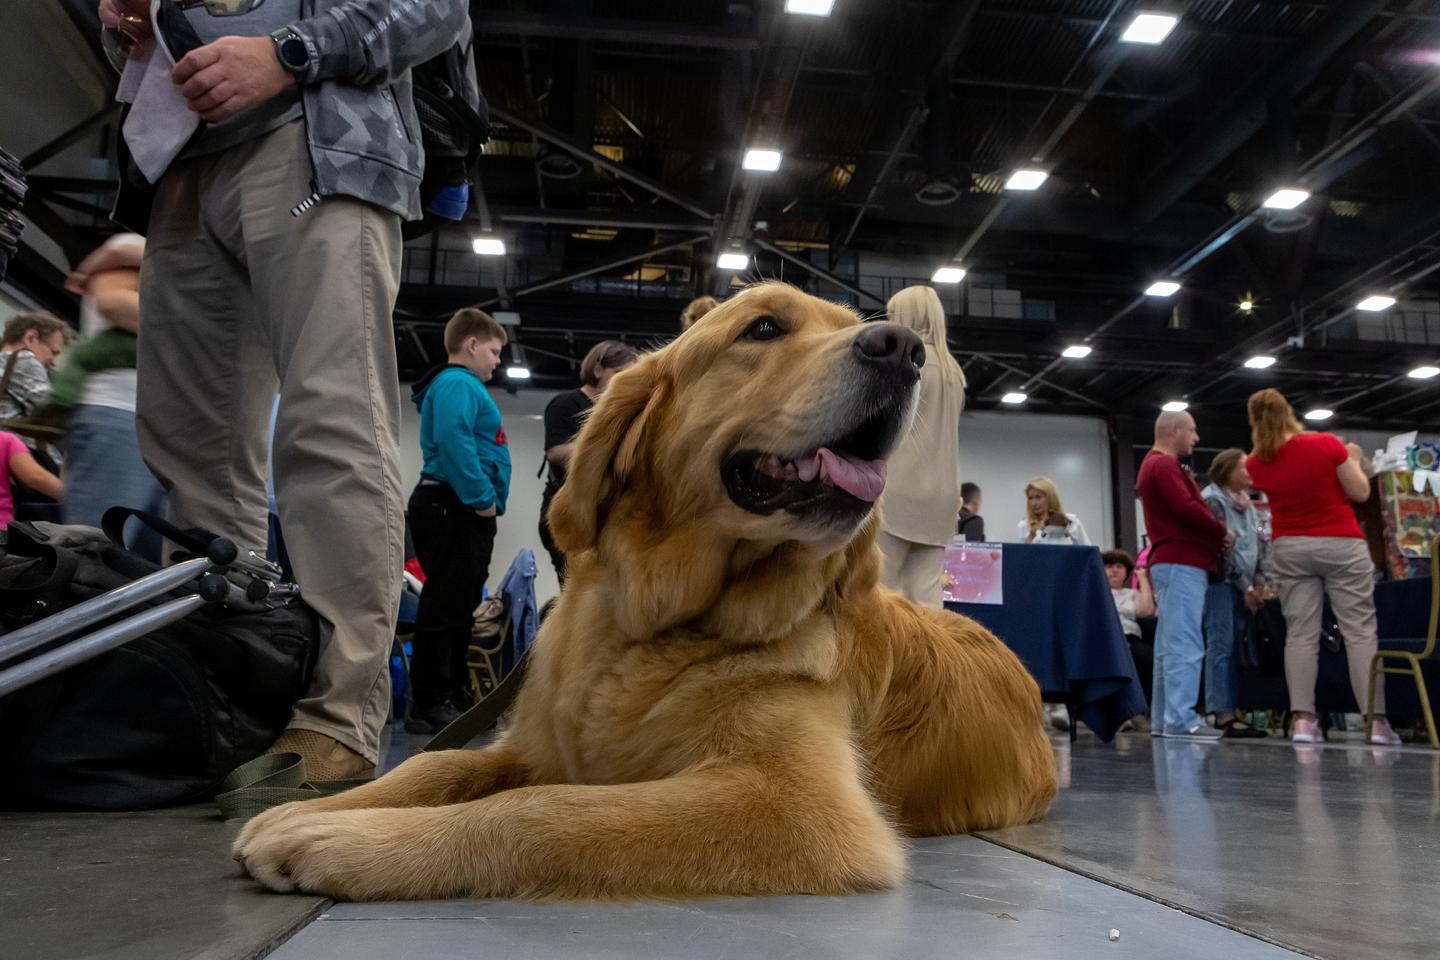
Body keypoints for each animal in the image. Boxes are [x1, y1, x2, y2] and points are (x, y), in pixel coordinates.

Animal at [230, 283, 1054, 903]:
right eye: (763, 328)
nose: (904, 349)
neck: (664, 621)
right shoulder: (534, 744)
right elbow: (439, 768)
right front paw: (317, 807)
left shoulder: (801, 804)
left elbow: (538, 809)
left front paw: (336, 838)